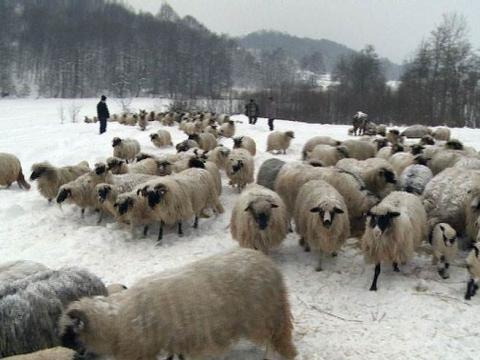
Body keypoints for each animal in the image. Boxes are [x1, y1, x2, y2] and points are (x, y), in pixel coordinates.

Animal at [56, 249, 296, 360]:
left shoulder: (141, 351)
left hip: (263, 315)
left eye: (69, 333)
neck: (116, 320)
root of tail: (269, 265)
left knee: (277, 337)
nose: (66, 352)